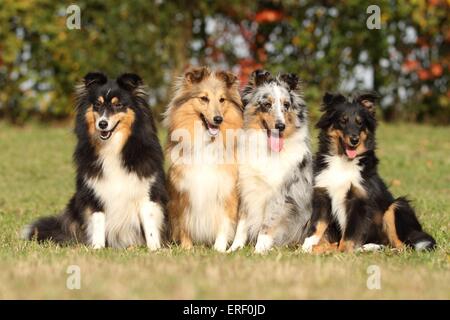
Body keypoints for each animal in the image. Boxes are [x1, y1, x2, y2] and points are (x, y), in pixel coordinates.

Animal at [302, 92, 436, 252]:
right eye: (343, 121)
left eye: (360, 123)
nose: (354, 140)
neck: (344, 161)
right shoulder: (323, 195)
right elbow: (317, 225)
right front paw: (306, 247)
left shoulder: (359, 200)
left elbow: (349, 235)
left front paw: (342, 251)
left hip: (396, 207)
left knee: (403, 246)